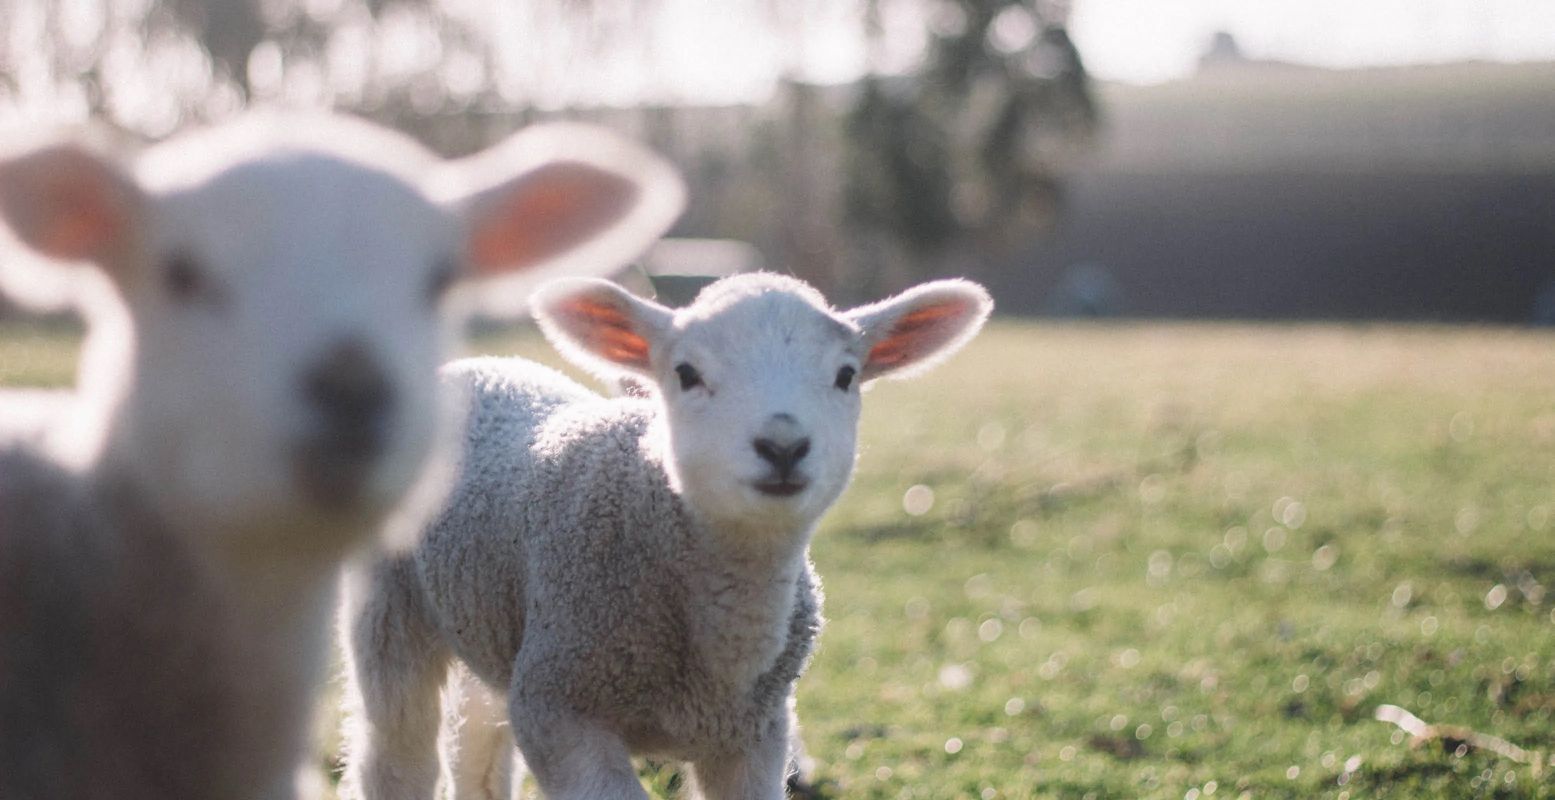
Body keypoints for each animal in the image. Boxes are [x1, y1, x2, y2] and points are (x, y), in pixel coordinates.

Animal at [345, 270, 988, 793]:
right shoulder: (559, 709)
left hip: (493, 620)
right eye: (687, 373)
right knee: (396, 753)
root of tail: (480, 365)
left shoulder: (756, 736)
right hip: (390, 610)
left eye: (846, 375)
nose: (783, 446)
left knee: (479, 744)